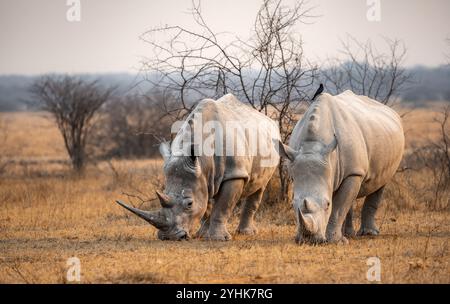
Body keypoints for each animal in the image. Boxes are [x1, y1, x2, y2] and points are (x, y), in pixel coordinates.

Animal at [116, 94, 280, 241]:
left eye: (189, 204)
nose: (169, 237)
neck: (204, 160)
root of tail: (268, 120)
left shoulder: (234, 173)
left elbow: (223, 206)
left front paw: (218, 239)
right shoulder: (201, 175)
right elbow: (205, 205)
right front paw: (201, 235)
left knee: (260, 186)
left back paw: (246, 233)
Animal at [278, 88, 404, 245]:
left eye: (327, 204)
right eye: (293, 204)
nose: (309, 240)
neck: (312, 145)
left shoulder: (354, 172)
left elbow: (338, 207)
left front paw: (335, 241)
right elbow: (342, 203)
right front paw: (339, 239)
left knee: (380, 183)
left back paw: (368, 233)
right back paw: (349, 234)